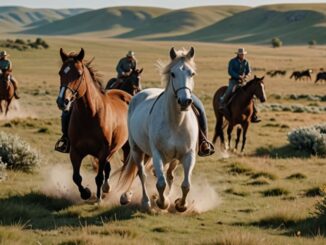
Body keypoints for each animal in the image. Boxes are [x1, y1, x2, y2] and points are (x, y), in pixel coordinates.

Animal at [56, 48, 131, 203]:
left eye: (78, 74)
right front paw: (86, 193)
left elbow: (99, 177)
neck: (89, 115)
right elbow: (76, 177)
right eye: (60, 73)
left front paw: (98, 199)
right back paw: (107, 188)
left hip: (126, 147)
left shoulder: (103, 152)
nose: (62, 102)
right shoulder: (75, 152)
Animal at [120, 47, 199, 212]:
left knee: (168, 175)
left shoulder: (188, 155)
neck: (176, 123)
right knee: (142, 174)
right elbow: (160, 183)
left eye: (192, 73)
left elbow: (186, 185)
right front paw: (163, 202)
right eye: (173, 73)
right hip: (137, 151)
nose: (185, 101)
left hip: (170, 159)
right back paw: (145, 201)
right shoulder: (158, 155)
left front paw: (180, 204)